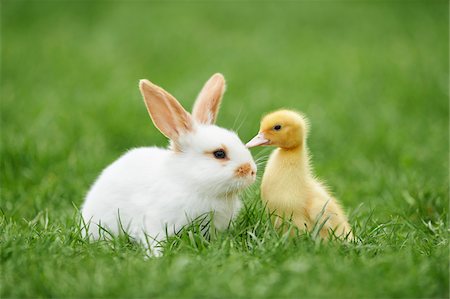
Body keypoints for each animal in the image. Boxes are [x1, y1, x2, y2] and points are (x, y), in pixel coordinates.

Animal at [81, 73, 256, 255]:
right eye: (219, 154)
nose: (252, 171)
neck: (190, 183)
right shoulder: (155, 222)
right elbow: (154, 240)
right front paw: (155, 257)